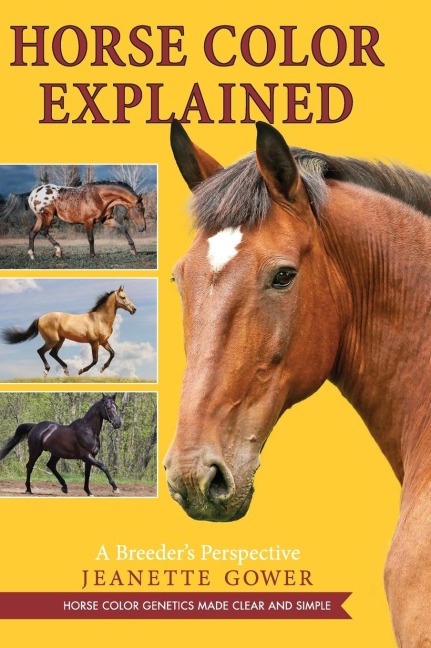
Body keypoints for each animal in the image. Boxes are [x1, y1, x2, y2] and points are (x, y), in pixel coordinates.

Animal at [0, 285, 136, 376]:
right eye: (123, 297)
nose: (134, 309)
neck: (100, 319)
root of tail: (40, 318)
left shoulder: (103, 342)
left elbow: (112, 353)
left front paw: (102, 369)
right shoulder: (94, 342)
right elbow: (95, 360)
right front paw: (81, 371)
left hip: (60, 340)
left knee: (53, 353)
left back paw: (66, 370)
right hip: (53, 340)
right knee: (41, 351)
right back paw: (46, 371)